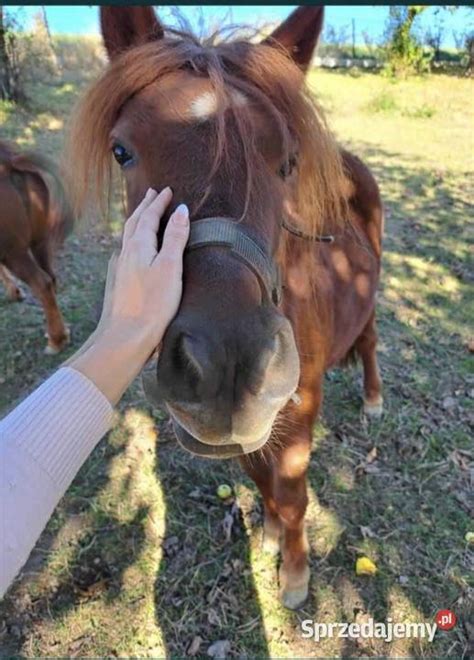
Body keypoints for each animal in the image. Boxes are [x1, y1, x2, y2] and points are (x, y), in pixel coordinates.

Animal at [0, 141, 73, 354]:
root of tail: (9, 163)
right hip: (39, 242)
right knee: (51, 279)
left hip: (14, 253)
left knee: (42, 283)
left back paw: (56, 341)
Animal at [69, 7, 382, 612]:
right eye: (122, 151)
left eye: (288, 162)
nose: (228, 367)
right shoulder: (253, 432)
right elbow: (259, 478)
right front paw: (269, 535)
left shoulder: (299, 416)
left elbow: (294, 494)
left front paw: (295, 576)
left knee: (372, 339)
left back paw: (374, 398)